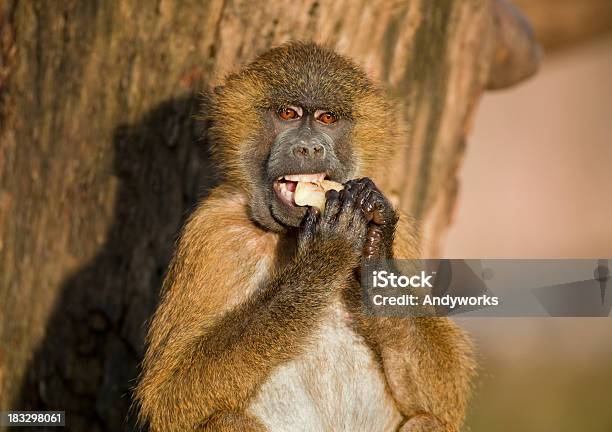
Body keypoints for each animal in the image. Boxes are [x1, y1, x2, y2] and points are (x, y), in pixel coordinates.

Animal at [135, 41, 478, 432]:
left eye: (328, 118)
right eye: (288, 113)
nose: (310, 148)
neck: (287, 232)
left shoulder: (400, 228)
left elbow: (441, 396)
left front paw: (375, 258)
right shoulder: (214, 231)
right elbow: (169, 392)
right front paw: (323, 257)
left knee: (426, 421)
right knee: (227, 419)